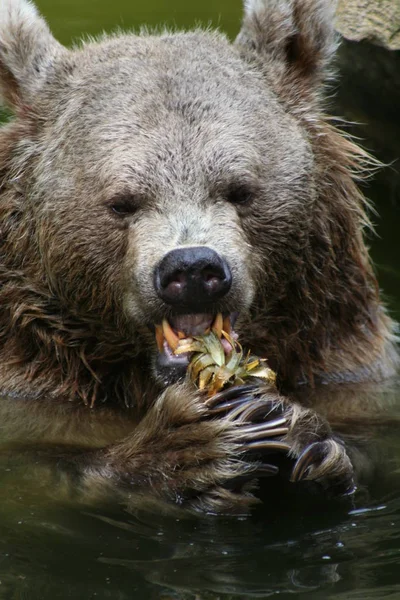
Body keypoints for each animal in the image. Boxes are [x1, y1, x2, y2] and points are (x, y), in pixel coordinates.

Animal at [0, 2, 396, 512]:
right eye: (122, 202)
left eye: (240, 189)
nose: (191, 269)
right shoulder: (34, 382)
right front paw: (189, 446)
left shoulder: (345, 363)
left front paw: (306, 436)